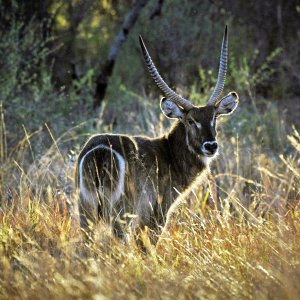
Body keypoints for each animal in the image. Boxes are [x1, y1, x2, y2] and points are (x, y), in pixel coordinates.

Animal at [75, 25, 239, 241]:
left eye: (214, 118)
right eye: (191, 121)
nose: (211, 146)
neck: (169, 153)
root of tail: (100, 151)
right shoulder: (157, 215)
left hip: (86, 211)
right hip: (121, 214)